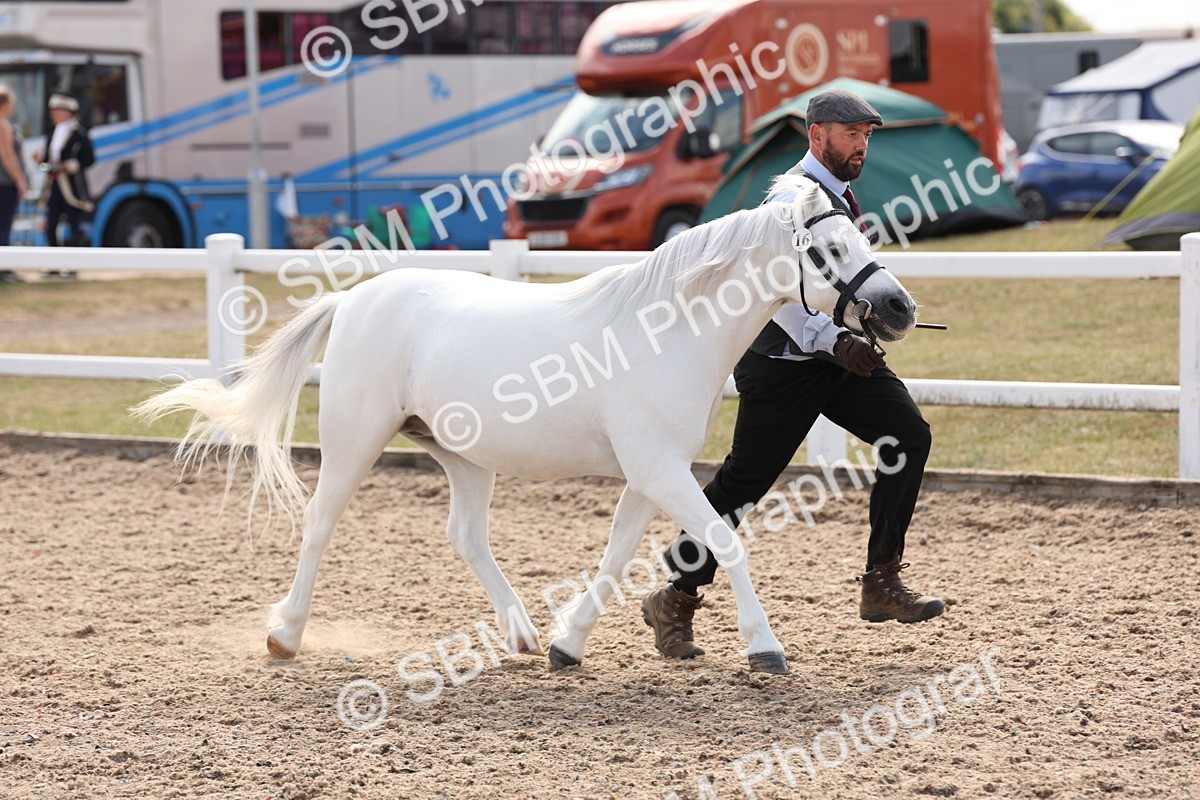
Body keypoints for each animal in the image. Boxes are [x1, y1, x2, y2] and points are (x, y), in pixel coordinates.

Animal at [135, 173, 917, 675]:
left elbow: (616, 557)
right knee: (320, 524)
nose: (899, 308)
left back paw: (519, 635)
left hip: (462, 455)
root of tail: (352, 300)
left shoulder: (648, 476)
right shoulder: (660, 471)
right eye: (833, 249)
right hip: (355, 441)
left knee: (465, 535)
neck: (666, 330)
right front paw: (765, 648)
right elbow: (725, 542)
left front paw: (568, 646)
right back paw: (286, 637)